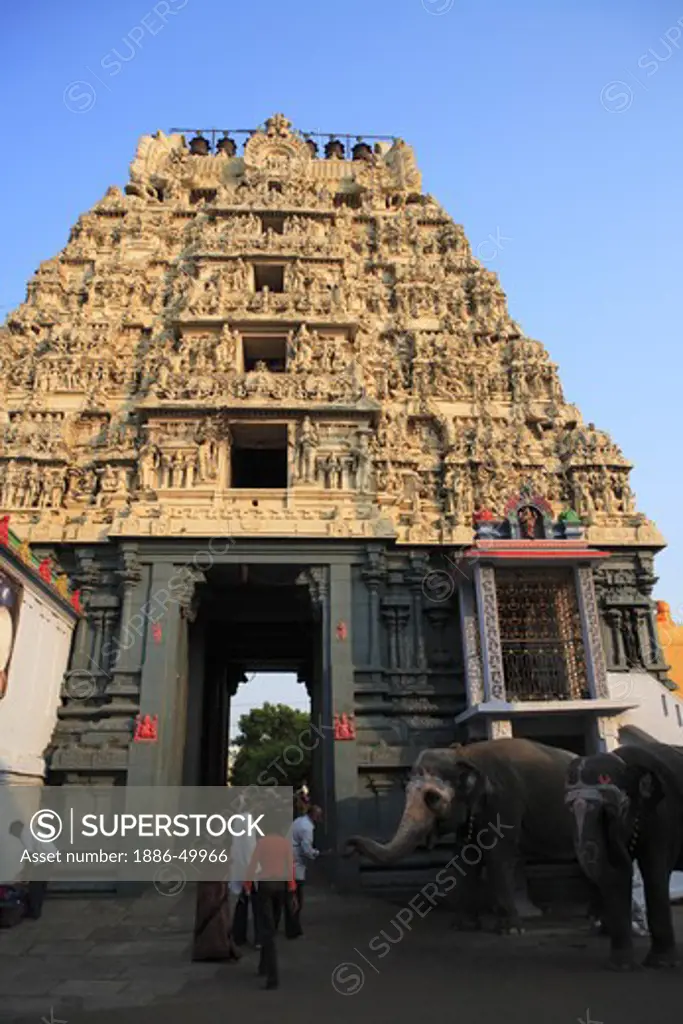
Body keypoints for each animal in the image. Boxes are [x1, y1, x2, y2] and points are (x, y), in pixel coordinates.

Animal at [348, 737, 577, 937]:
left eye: (433, 798)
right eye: (405, 791)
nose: (348, 844)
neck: (466, 754)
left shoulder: (505, 800)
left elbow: (498, 855)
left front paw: (511, 931)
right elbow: (465, 856)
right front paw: (464, 926)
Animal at [565, 745, 683, 966]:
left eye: (604, 778)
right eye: (568, 808)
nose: (611, 822)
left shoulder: (664, 817)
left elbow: (655, 872)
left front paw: (660, 962)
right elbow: (617, 877)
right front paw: (621, 965)